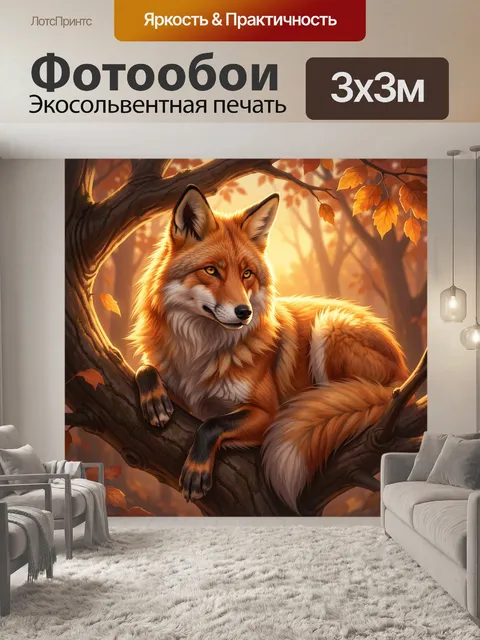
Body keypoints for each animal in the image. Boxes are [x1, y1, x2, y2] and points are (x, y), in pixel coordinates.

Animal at [129, 185, 409, 511]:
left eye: (247, 274)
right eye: (211, 271)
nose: (244, 312)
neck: (200, 354)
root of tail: (402, 366)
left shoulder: (267, 414)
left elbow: (212, 424)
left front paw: (197, 470)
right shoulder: (184, 397)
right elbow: (145, 369)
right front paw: (155, 400)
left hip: (330, 326)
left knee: (339, 397)